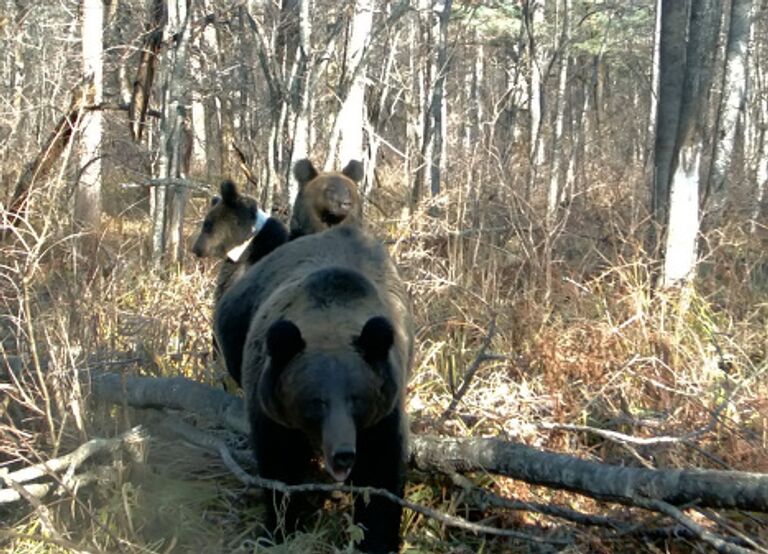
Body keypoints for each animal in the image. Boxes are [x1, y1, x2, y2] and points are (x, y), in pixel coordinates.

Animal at [213, 225, 412, 552]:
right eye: (316, 401)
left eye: (357, 399)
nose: (343, 453)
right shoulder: (271, 410)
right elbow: (281, 468)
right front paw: (282, 528)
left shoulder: (384, 412)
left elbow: (381, 471)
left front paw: (376, 538)